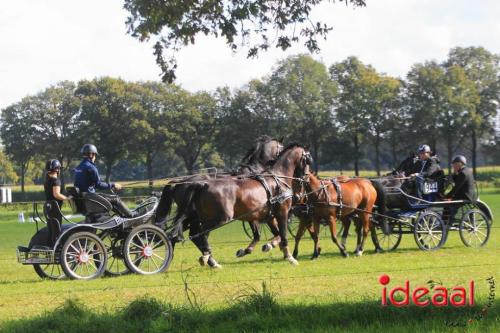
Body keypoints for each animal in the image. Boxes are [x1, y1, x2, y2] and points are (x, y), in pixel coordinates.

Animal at [159, 144, 312, 266]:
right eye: (307, 160)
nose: (306, 178)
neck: (278, 178)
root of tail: (202, 184)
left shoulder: (262, 216)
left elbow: (267, 235)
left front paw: (265, 246)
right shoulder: (282, 212)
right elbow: (283, 235)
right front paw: (289, 257)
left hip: (200, 217)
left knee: (192, 235)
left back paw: (209, 260)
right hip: (219, 218)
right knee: (198, 235)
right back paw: (206, 257)